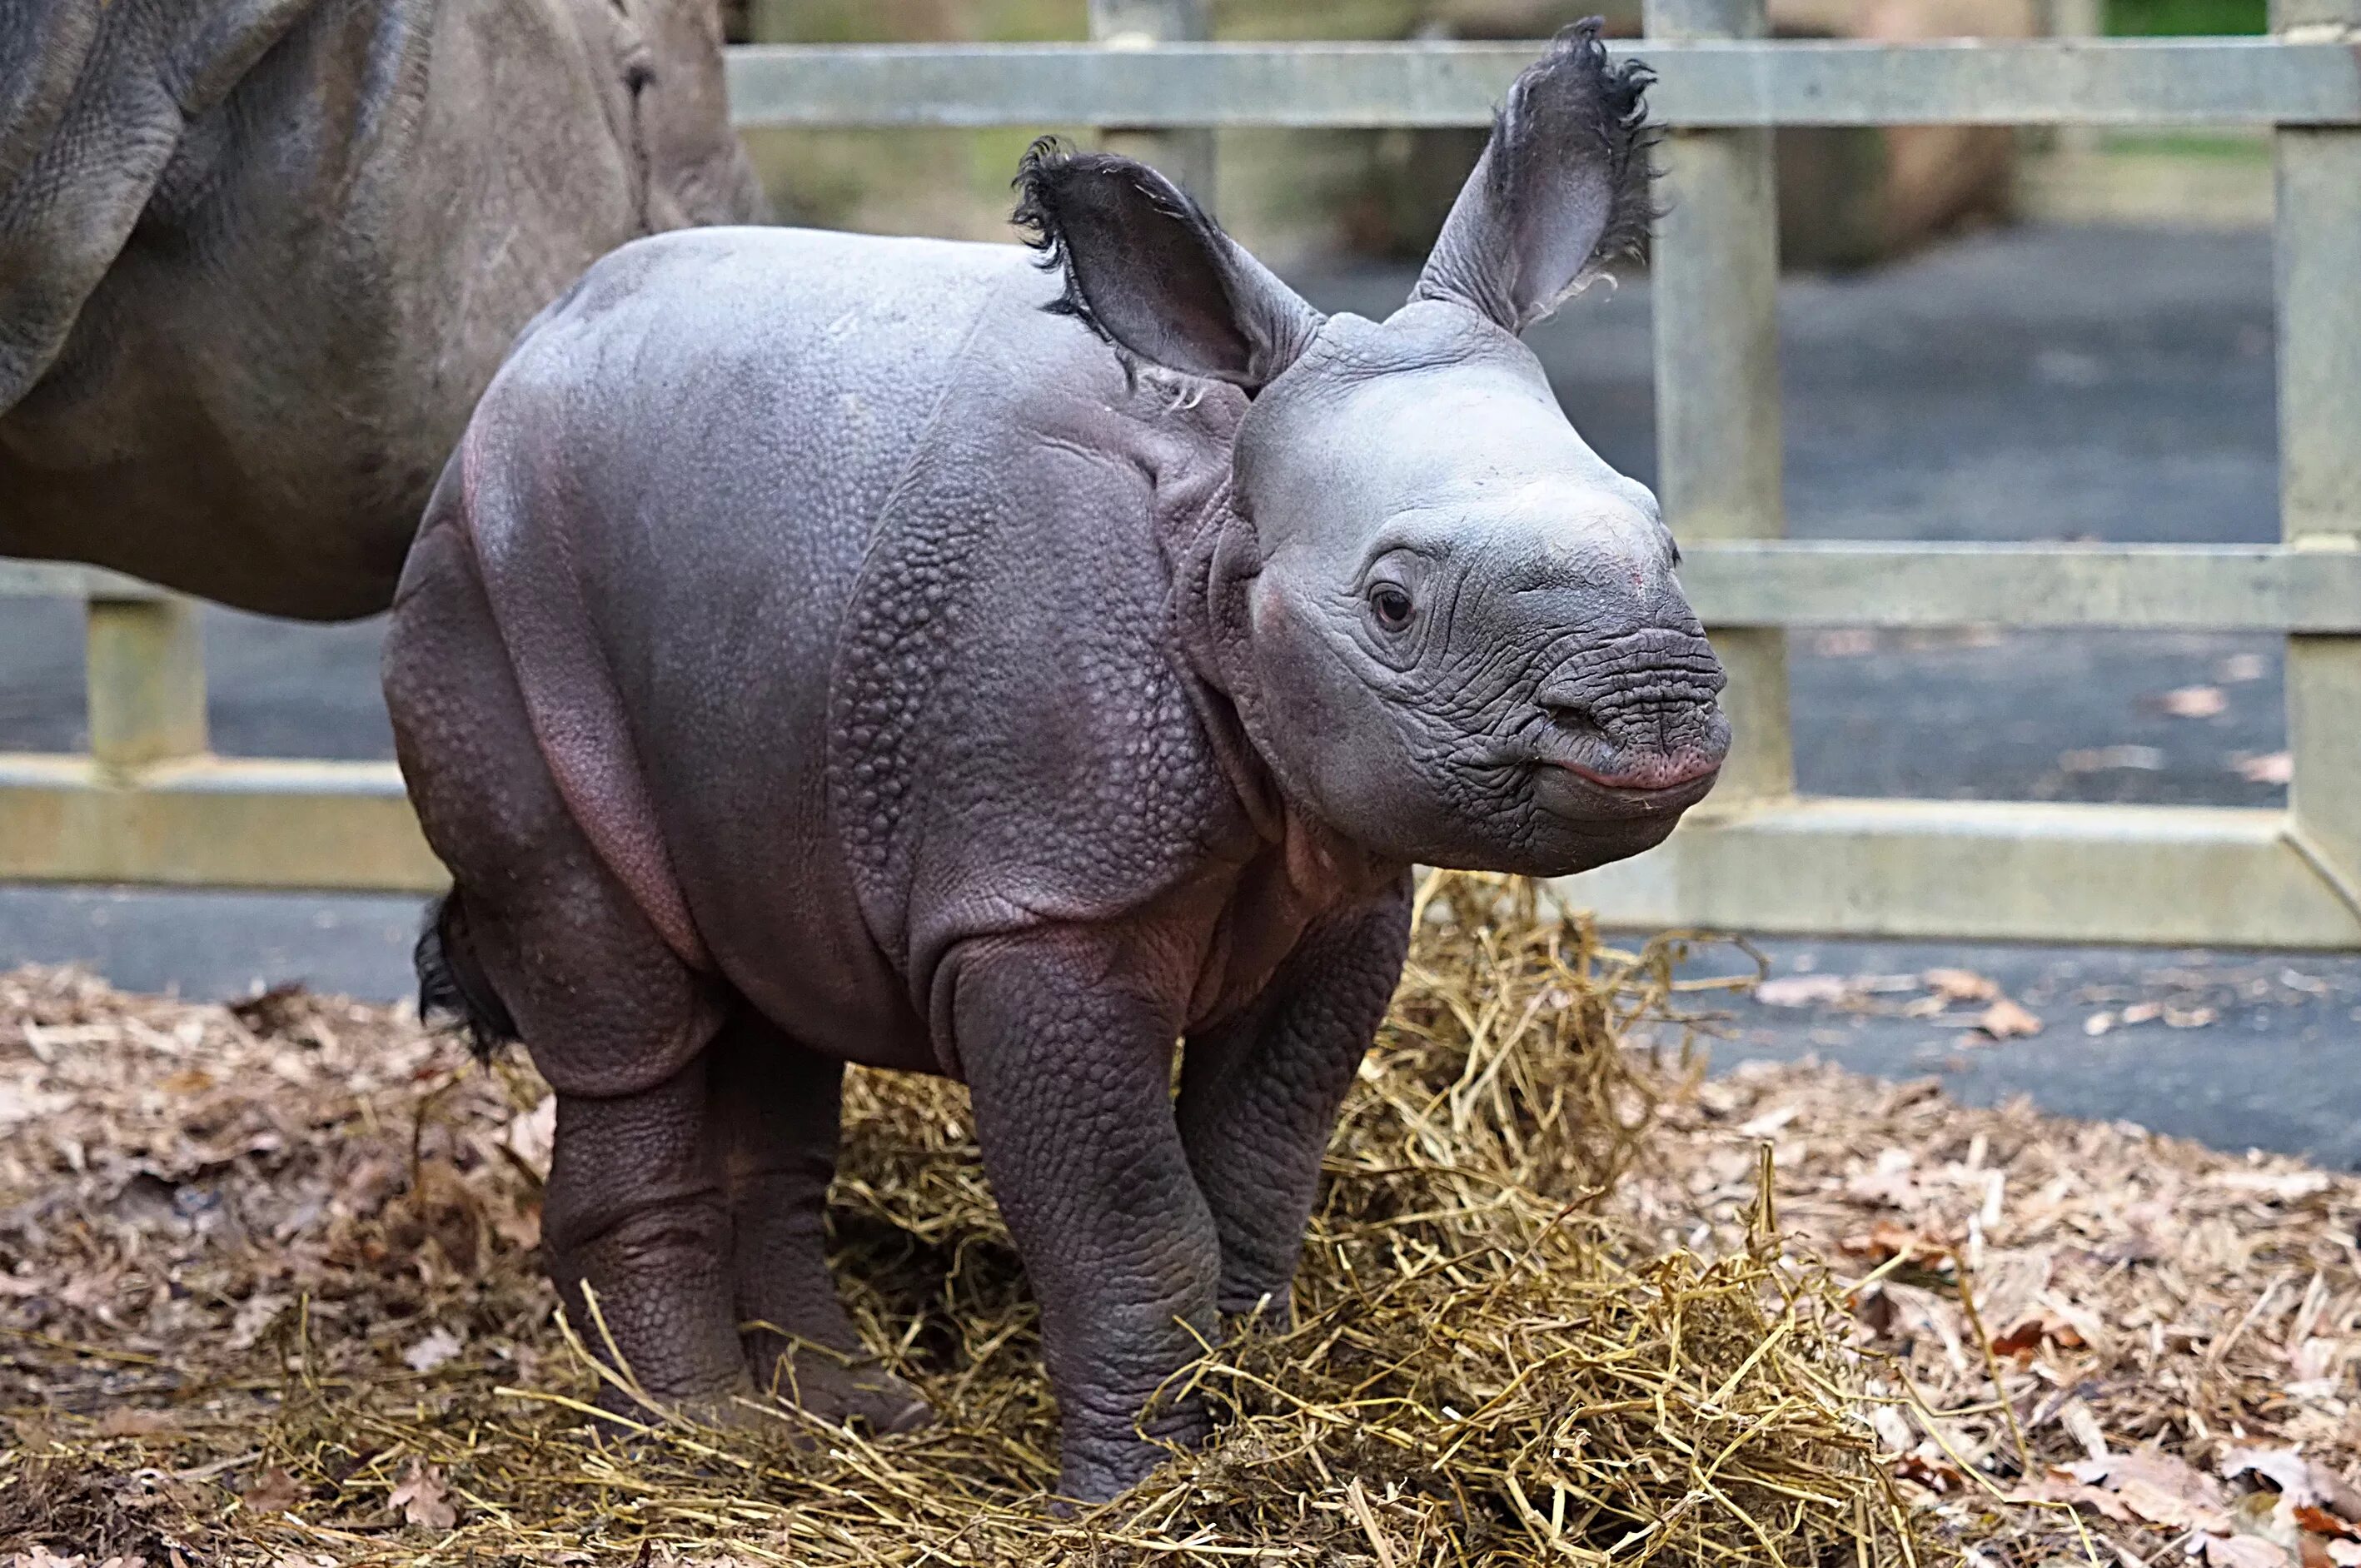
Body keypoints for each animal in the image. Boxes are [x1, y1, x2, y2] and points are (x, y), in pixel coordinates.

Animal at [382, 21, 1718, 1492]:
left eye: (1662, 535)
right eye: (1390, 603)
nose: (1653, 710)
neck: (1217, 527)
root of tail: (512, 363)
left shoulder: (1341, 888)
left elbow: (1254, 1181)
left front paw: (1261, 1417)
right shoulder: (1036, 904)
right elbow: (1132, 1221)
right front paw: (1136, 1491)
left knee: (767, 992)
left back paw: (848, 1420)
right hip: (483, 587)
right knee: (629, 1016)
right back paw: (698, 1448)